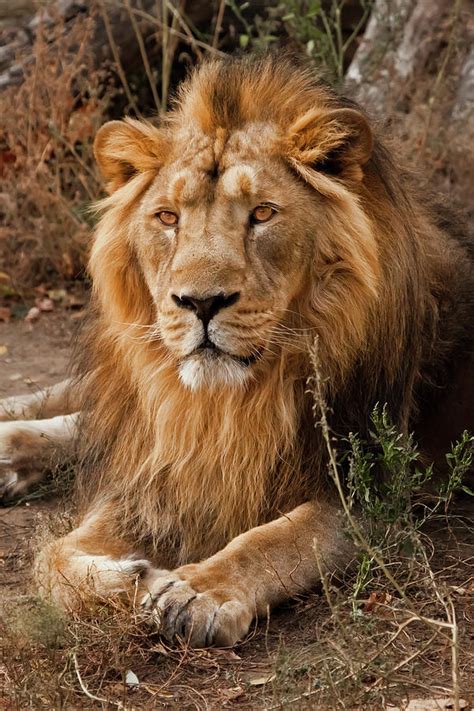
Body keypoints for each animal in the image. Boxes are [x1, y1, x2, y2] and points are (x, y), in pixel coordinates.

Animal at [0, 52, 472, 648]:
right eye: (168, 218)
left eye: (263, 214)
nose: (201, 302)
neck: (235, 401)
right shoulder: (163, 465)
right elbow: (52, 560)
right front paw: (135, 577)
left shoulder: (372, 484)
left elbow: (278, 538)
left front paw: (196, 590)